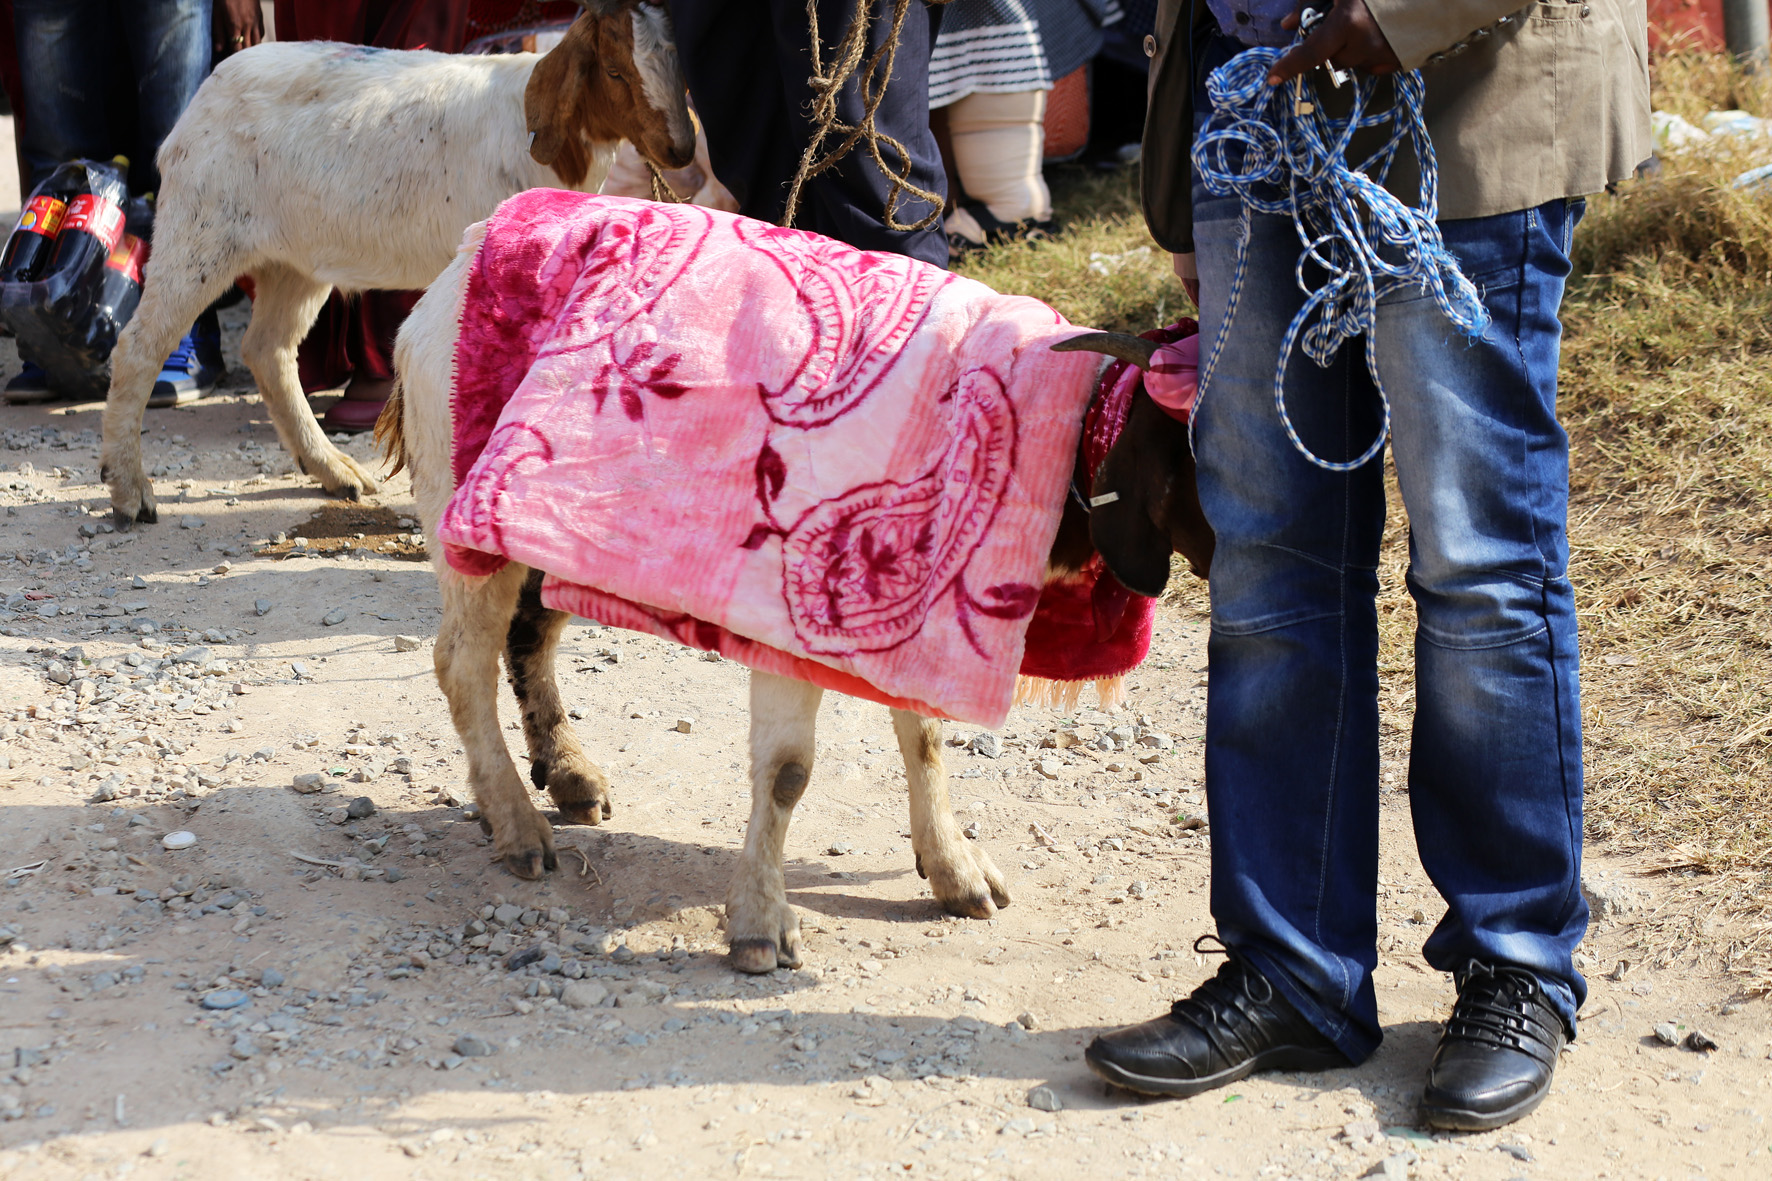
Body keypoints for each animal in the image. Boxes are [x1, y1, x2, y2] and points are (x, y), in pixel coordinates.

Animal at [99, 0, 694, 528]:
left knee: (269, 348)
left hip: (295, 258)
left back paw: (334, 470)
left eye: (680, 70)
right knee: (139, 346)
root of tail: (200, 102)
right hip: (202, 231)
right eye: (615, 71)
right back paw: (130, 493)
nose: (681, 150)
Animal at [387, 214, 1212, 974]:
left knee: (529, 634)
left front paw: (953, 867)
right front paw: (759, 923)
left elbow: (925, 733)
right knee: (461, 663)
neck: (1058, 424)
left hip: (548, 534)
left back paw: (567, 774)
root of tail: (452, 271)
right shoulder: (785, 621)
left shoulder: (917, 617)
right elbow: (787, 771)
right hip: (464, 506)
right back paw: (516, 824)